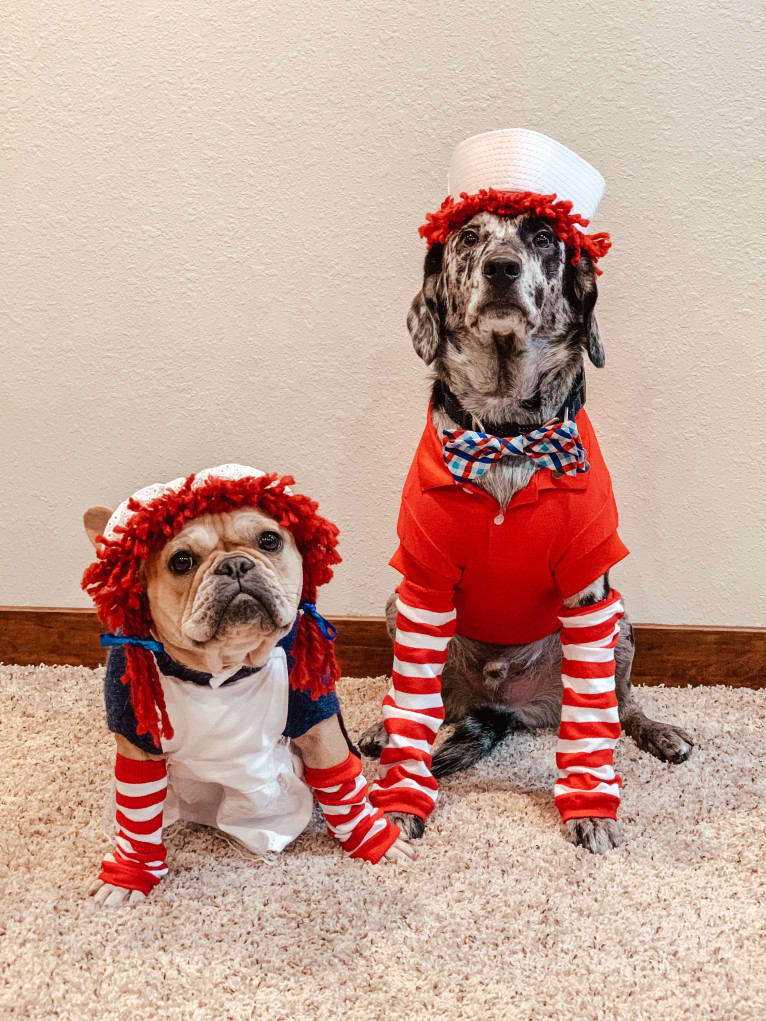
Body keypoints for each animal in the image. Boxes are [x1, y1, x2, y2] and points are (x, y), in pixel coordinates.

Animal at [359, 207, 694, 853]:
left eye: (543, 237)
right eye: (468, 236)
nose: (502, 268)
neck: (506, 435)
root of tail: (504, 705)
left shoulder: (589, 587)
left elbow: (594, 732)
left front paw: (591, 810)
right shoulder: (422, 583)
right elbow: (409, 713)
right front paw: (399, 800)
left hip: (621, 623)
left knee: (622, 707)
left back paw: (660, 733)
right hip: (399, 611)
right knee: (425, 706)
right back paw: (379, 730)